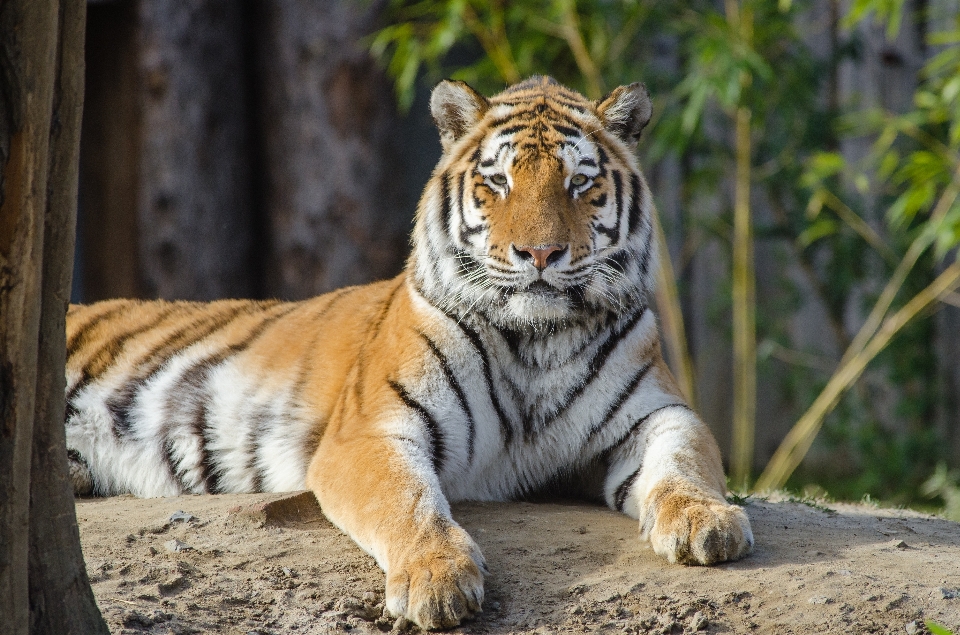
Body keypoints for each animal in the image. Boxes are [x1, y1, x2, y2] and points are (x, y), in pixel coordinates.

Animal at [69, 74, 756, 632]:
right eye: (498, 181)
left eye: (579, 182)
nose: (538, 254)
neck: (536, 340)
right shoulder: (368, 432)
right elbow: (405, 501)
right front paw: (435, 580)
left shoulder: (657, 413)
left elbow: (685, 462)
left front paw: (707, 522)